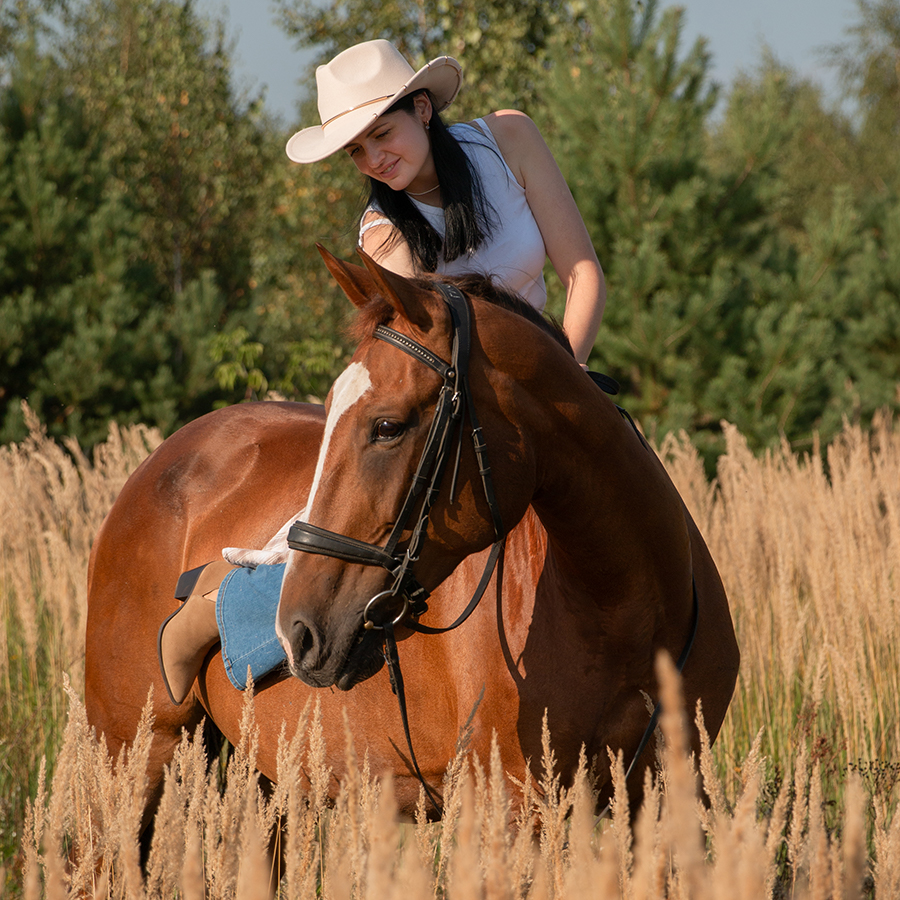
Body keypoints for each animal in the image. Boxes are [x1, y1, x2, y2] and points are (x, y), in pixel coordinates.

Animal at [84, 244, 740, 836]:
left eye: (387, 426)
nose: (297, 631)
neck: (621, 607)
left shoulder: (661, 797)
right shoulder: (518, 807)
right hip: (132, 756)